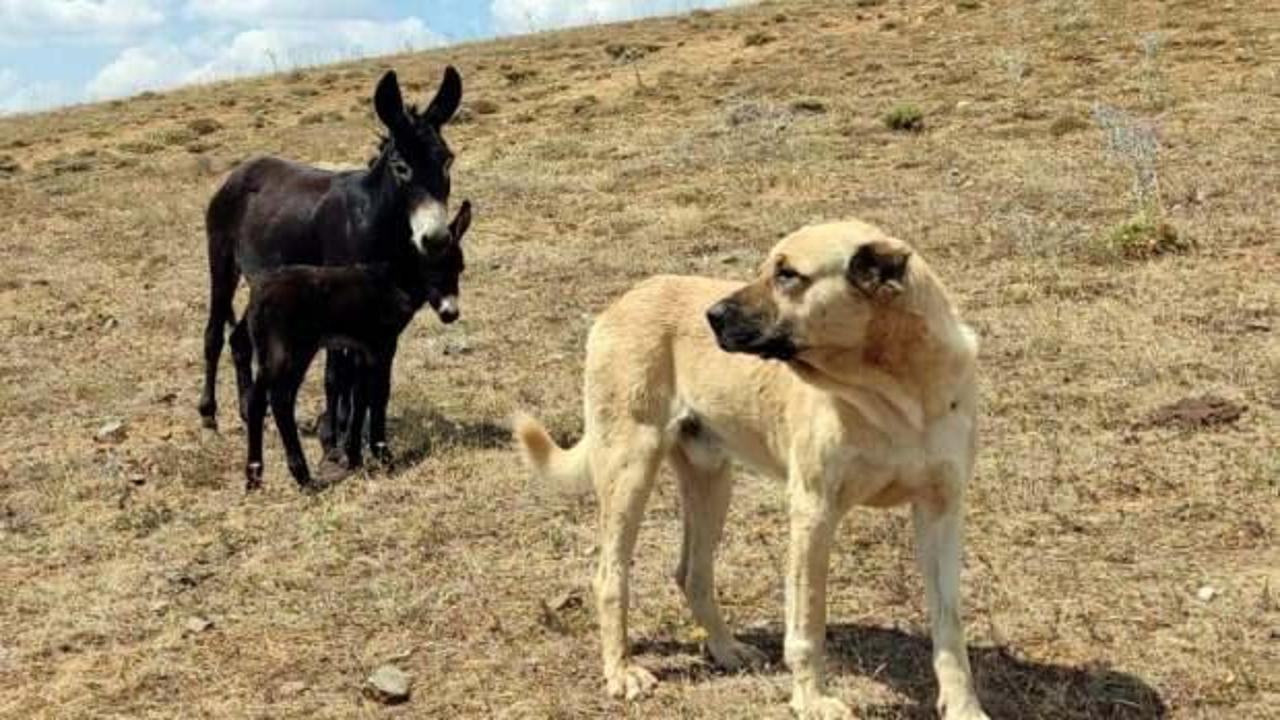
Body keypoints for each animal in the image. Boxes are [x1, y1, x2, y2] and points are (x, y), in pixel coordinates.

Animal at [197, 65, 463, 453]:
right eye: (400, 167)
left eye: (446, 160)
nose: (436, 239)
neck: (373, 218)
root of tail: (242, 169)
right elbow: (339, 373)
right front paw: (334, 439)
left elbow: (363, 377)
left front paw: (355, 436)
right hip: (222, 261)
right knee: (214, 333)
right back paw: (209, 413)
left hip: (263, 278)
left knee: (240, 340)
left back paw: (248, 411)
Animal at [241, 203, 468, 491]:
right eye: (432, 269)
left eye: (459, 268)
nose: (451, 314)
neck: (393, 281)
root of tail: (258, 295)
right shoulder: (383, 345)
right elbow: (379, 394)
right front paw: (383, 456)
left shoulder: (363, 349)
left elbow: (360, 397)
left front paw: (355, 458)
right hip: (294, 351)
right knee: (281, 399)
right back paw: (302, 476)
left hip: (267, 353)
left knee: (256, 401)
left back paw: (254, 475)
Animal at [512, 220, 988, 717]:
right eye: (766, 269)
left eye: (788, 275)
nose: (712, 316)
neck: (895, 394)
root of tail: (624, 299)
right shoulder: (813, 512)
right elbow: (807, 625)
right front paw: (811, 700)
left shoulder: (941, 512)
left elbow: (950, 627)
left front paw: (963, 707)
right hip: (631, 469)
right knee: (610, 575)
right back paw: (621, 671)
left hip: (711, 480)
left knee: (692, 574)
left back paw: (726, 649)